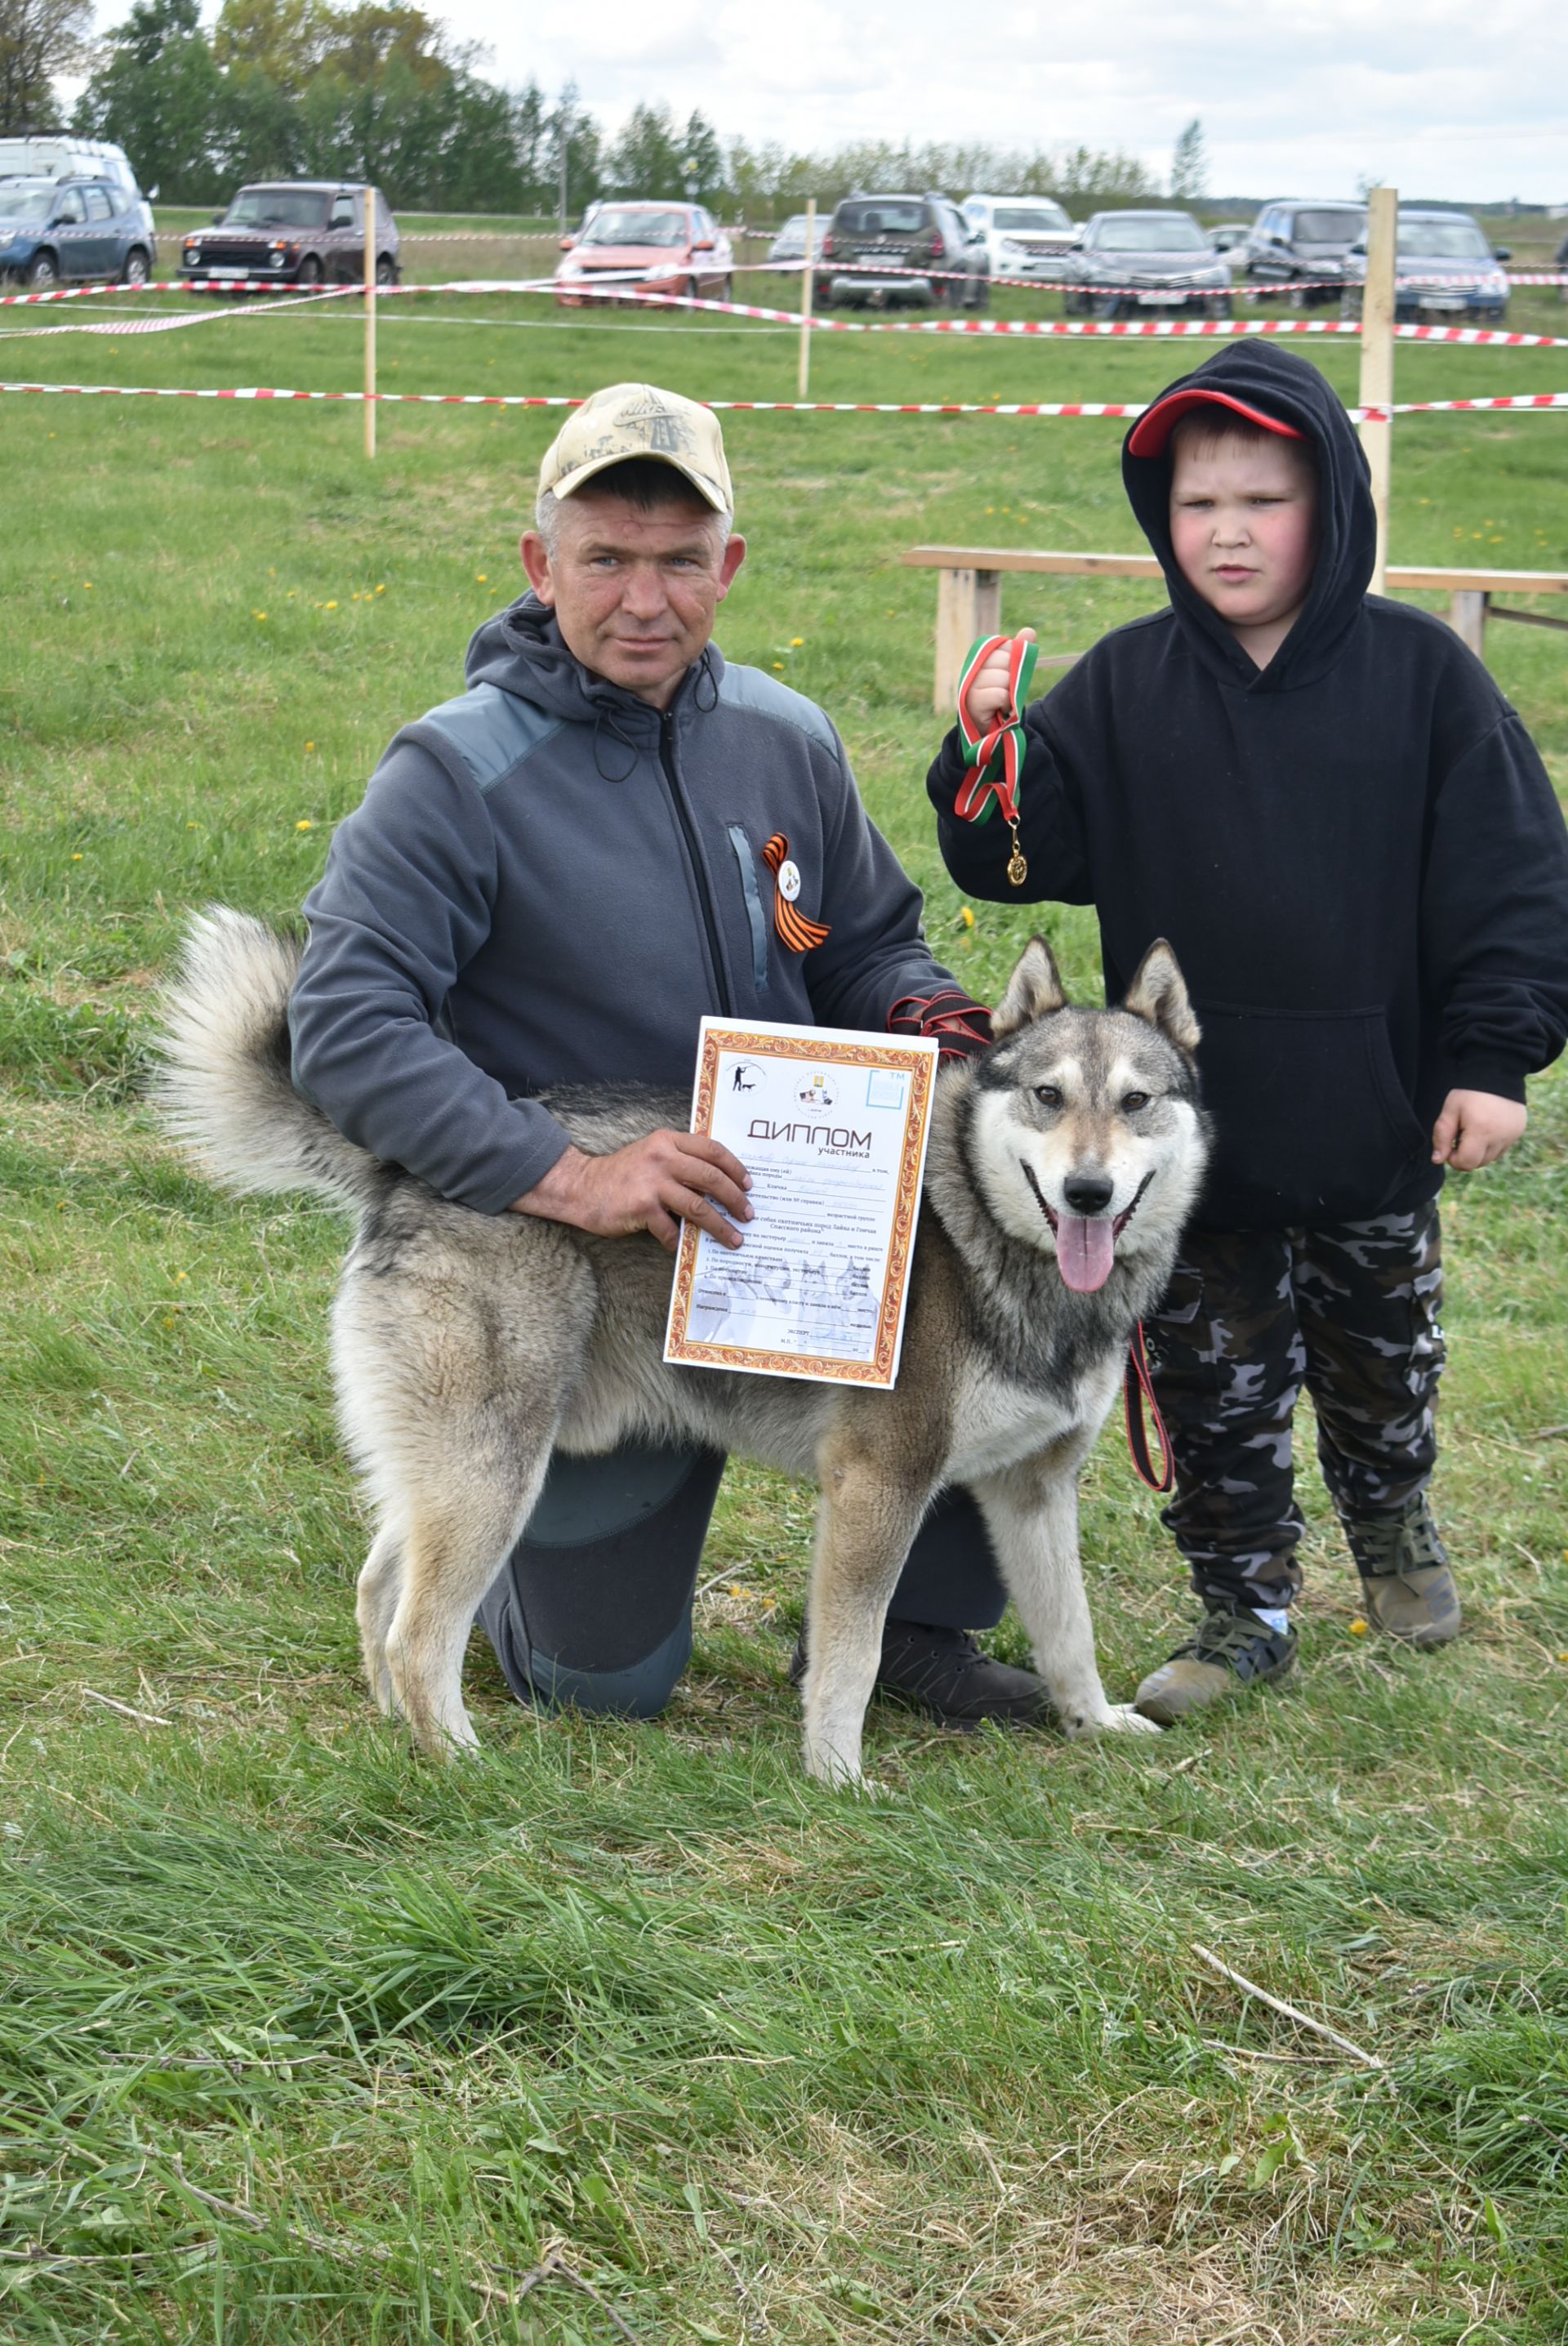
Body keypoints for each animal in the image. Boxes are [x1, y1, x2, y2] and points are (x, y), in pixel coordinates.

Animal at [159, 910, 1209, 1773]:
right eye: (1047, 1095)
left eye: (1135, 1103)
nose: (1087, 1193)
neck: (986, 1235)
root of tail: (404, 1168)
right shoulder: (880, 1484)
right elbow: (852, 1656)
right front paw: (837, 1777)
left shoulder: (1033, 1489)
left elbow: (1067, 1631)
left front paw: (1096, 1725)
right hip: (496, 1474)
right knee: (420, 1633)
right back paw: (460, 1762)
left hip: (451, 1469)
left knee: (381, 1589)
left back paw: (397, 1738)